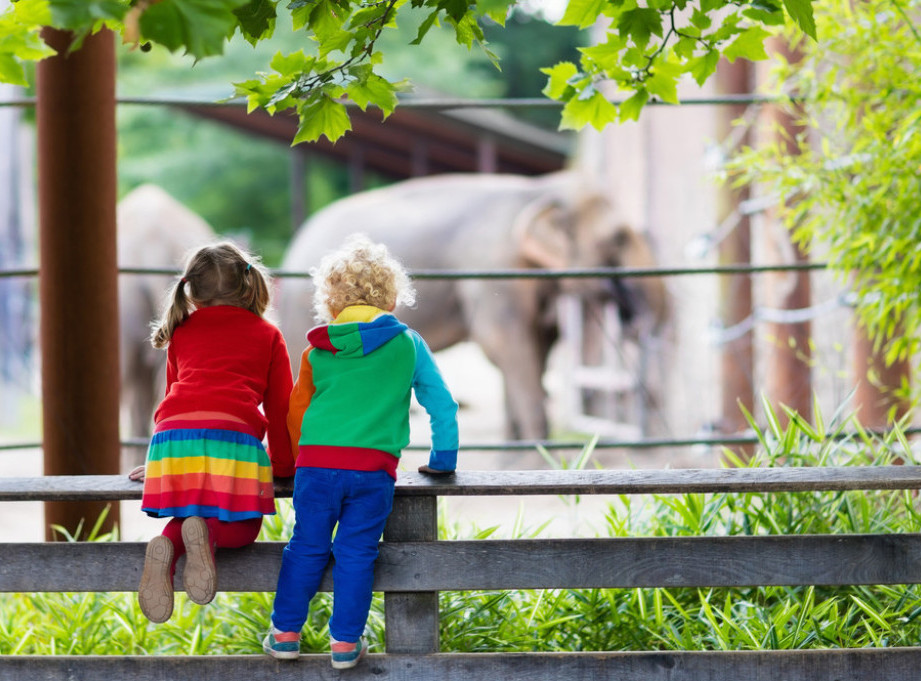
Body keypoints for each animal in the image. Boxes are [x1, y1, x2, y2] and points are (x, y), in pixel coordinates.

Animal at [276, 167, 664, 438]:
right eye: (618, 238)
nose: (636, 321)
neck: (537, 190)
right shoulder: (494, 268)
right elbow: (504, 344)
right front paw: (538, 453)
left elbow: (534, 347)